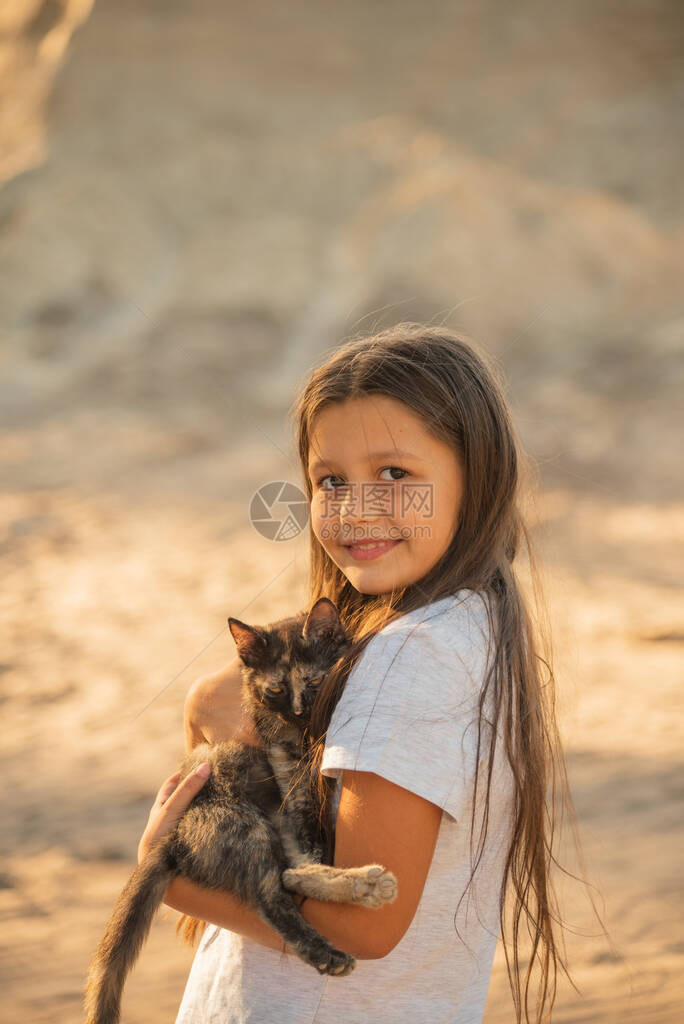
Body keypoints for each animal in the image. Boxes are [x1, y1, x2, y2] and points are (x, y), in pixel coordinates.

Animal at [83, 598, 397, 1024]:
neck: (304, 735)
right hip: (243, 821)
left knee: (290, 873)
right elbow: (305, 824)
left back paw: (362, 884)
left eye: (314, 683)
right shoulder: (284, 764)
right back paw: (332, 946)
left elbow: (308, 842)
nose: (299, 711)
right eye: (276, 689)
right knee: (272, 891)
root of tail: (175, 837)